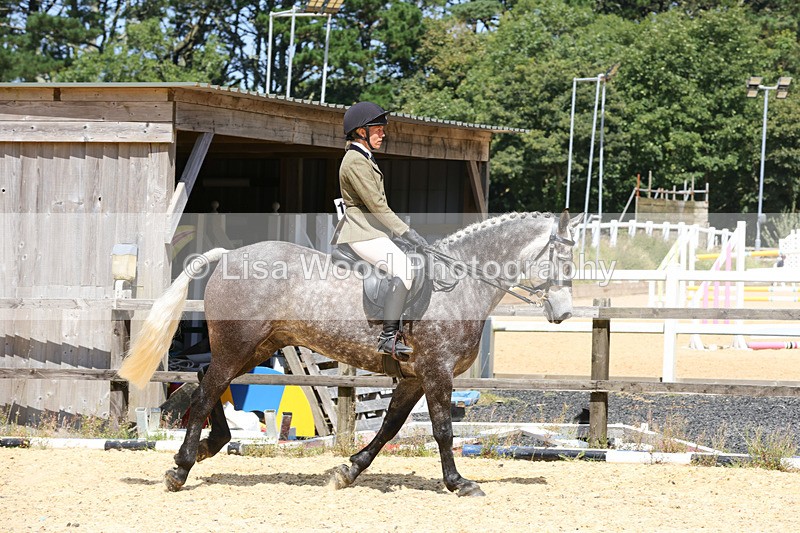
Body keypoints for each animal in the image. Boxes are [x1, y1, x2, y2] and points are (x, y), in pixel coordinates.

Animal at [119, 210, 581, 497]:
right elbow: (444, 431)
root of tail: (229, 255)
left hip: (254, 347)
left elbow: (390, 427)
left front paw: (348, 470)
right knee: (203, 393)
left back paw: (210, 446)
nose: (563, 312)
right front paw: (459, 483)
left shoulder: (413, 377)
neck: (460, 283)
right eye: (563, 258)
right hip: (238, 347)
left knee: (205, 383)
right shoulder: (437, 371)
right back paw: (181, 468)